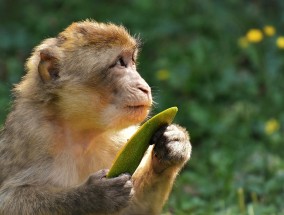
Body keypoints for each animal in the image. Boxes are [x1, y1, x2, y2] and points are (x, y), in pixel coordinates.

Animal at [0, 19, 192, 214]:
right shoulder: (31, 133)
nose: (144, 87)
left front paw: (173, 145)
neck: (82, 131)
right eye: (119, 63)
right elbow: (9, 200)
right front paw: (93, 196)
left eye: (131, 61)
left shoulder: (120, 137)